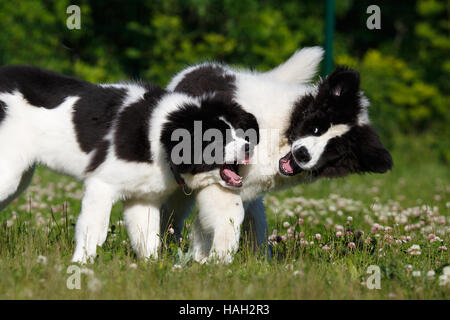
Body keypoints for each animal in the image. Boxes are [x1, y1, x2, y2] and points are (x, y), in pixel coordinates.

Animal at [0, 65, 260, 262]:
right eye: (217, 138)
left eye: (239, 131)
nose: (249, 146)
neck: (158, 136)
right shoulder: (101, 185)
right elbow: (93, 230)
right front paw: (80, 265)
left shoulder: (142, 197)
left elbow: (147, 237)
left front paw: (154, 269)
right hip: (9, 171)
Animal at [161, 47, 390, 262]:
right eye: (316, 128)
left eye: (334, 150)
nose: (303, 154)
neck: (280, 134)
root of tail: (201, 68)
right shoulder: (220, 178)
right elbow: (229, 216)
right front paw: (219, 259)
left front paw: (206, 258)